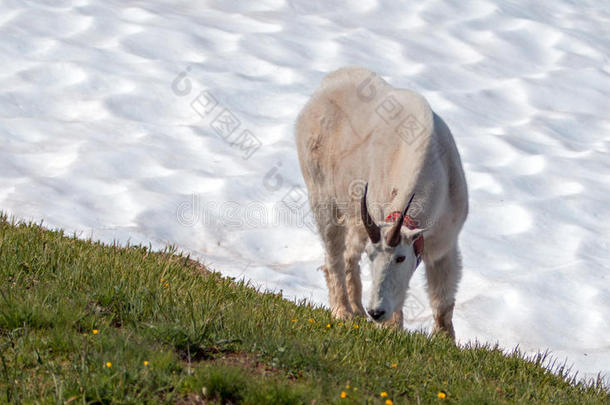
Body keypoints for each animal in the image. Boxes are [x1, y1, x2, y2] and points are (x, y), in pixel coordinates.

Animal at [294, 67, 466, 338]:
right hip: (321, 195)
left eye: (400, 258)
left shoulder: (445, 243)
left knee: (348, 254)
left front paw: (446, 340)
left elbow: (442, 299)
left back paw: (357, 310)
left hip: (357, 216)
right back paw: (342, 312)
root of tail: (322, 89)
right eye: (372, 256)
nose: (376, 312)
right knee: (333, 254)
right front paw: (392, 328)